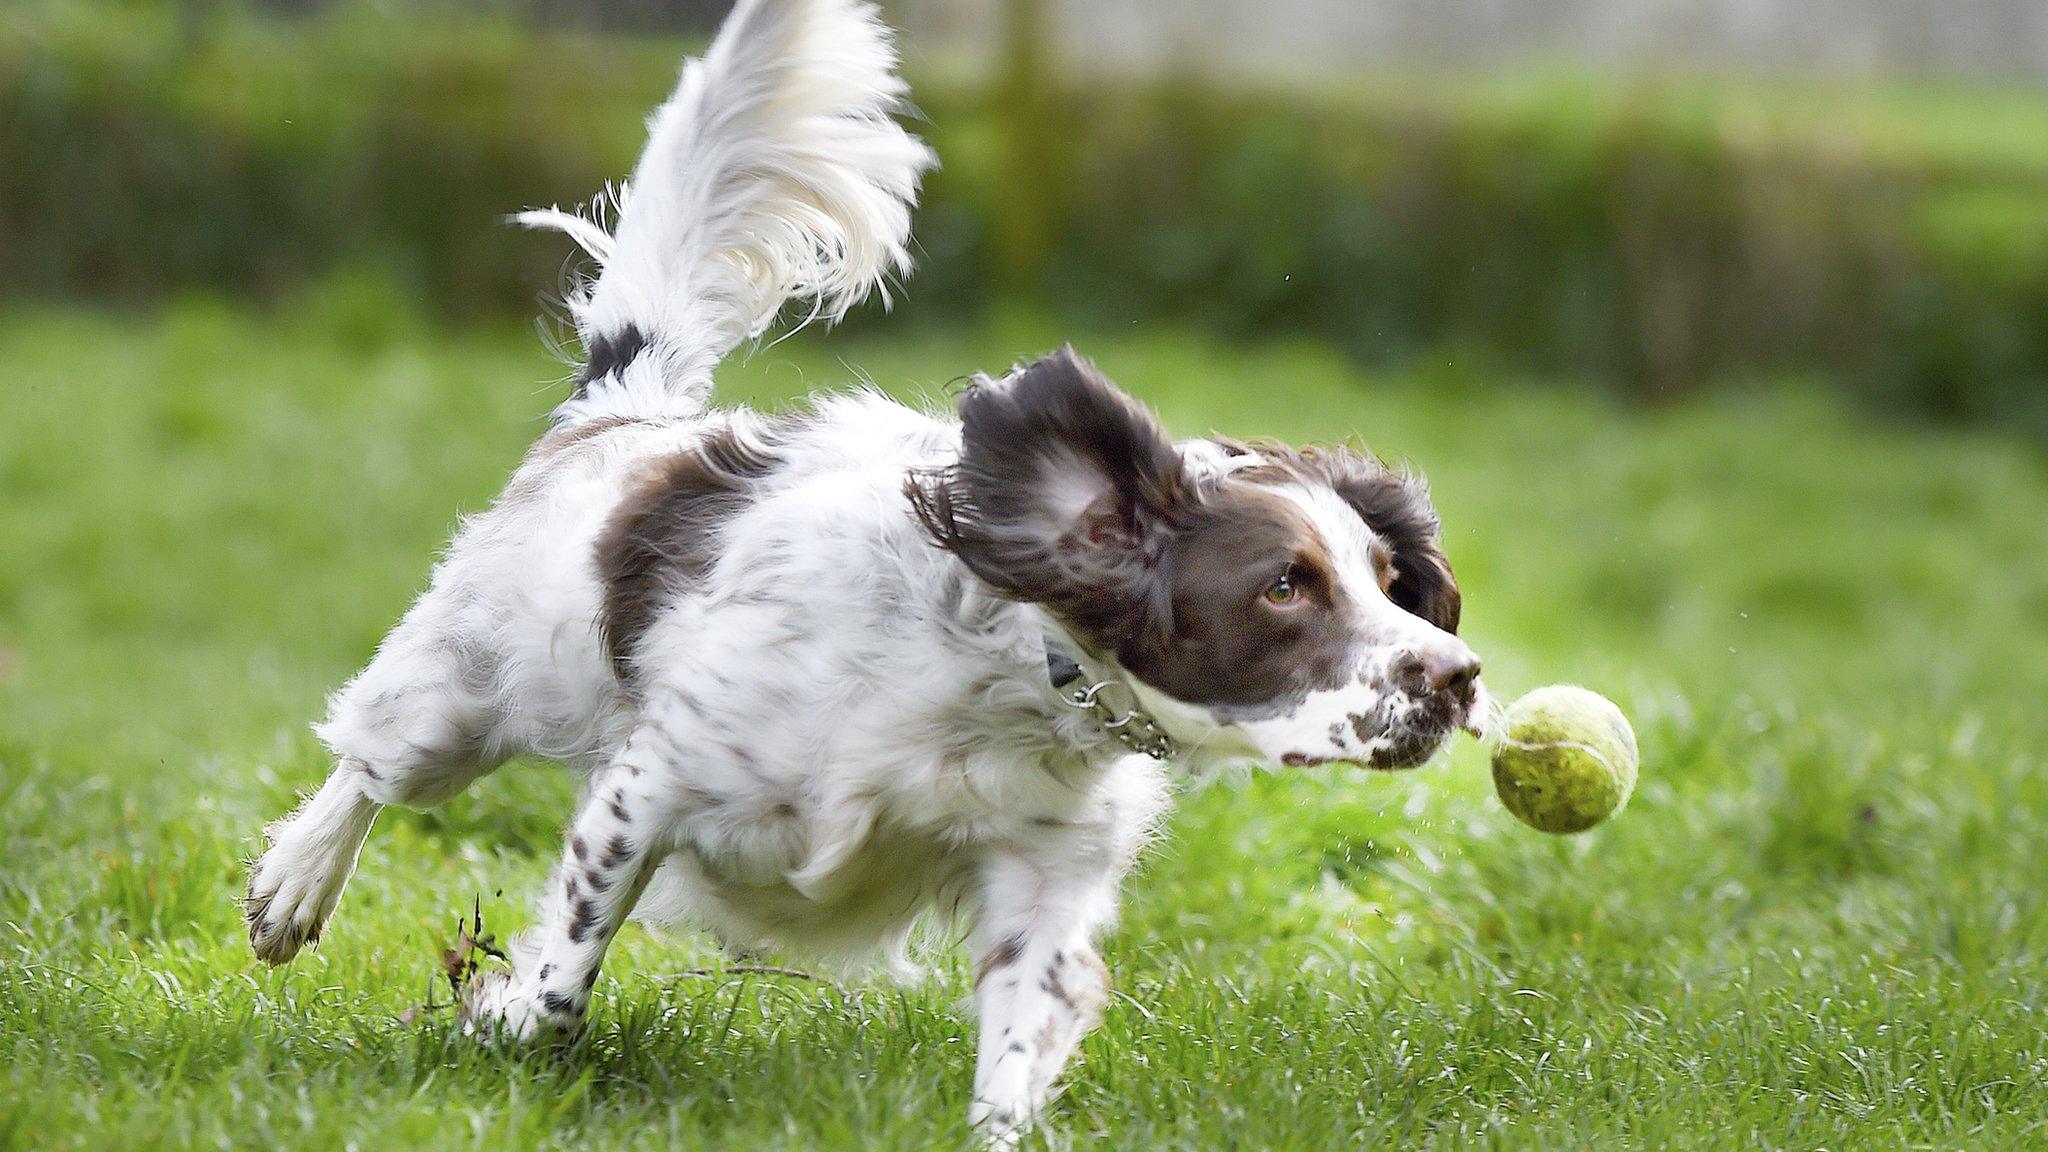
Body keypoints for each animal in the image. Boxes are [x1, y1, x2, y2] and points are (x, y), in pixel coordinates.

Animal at [243, 0, 1490, 1131]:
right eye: (1283, 587)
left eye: (1389, 580)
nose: (1457, 675)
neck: (995, 684)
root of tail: (623, 408)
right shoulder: (650, 786)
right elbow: (557, 991)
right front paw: (490, 1009)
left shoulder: (1042, 878)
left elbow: (1014, 1056)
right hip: (471, 690)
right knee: (371, 764)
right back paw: (294, 886)